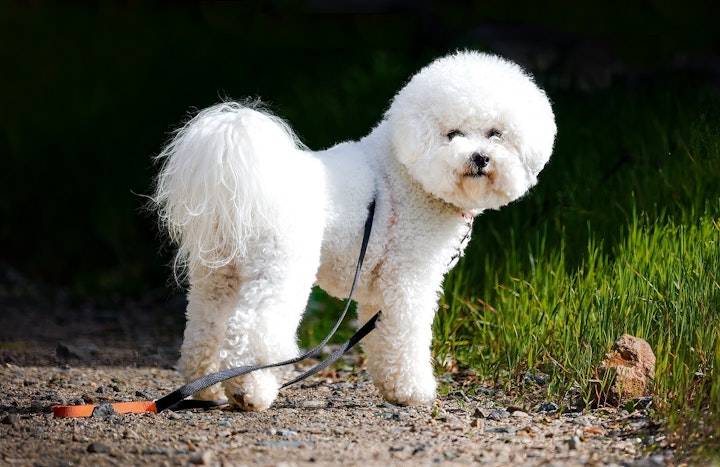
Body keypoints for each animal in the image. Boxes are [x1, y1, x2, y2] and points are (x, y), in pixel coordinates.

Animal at [152, 50, 556, 410]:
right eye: (452, 134)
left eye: (495, 134)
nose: (479, 158)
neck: (405, 173)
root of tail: (250, 184)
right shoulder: (408, 280)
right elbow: (406, 336)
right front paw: (414, 390)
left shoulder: (381, 291)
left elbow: (382, 339)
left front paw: (393, 388)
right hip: (281, 268)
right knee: (253, 330)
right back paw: (249, 392)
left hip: (218, 276)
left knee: (205, 329)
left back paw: (206, 388)